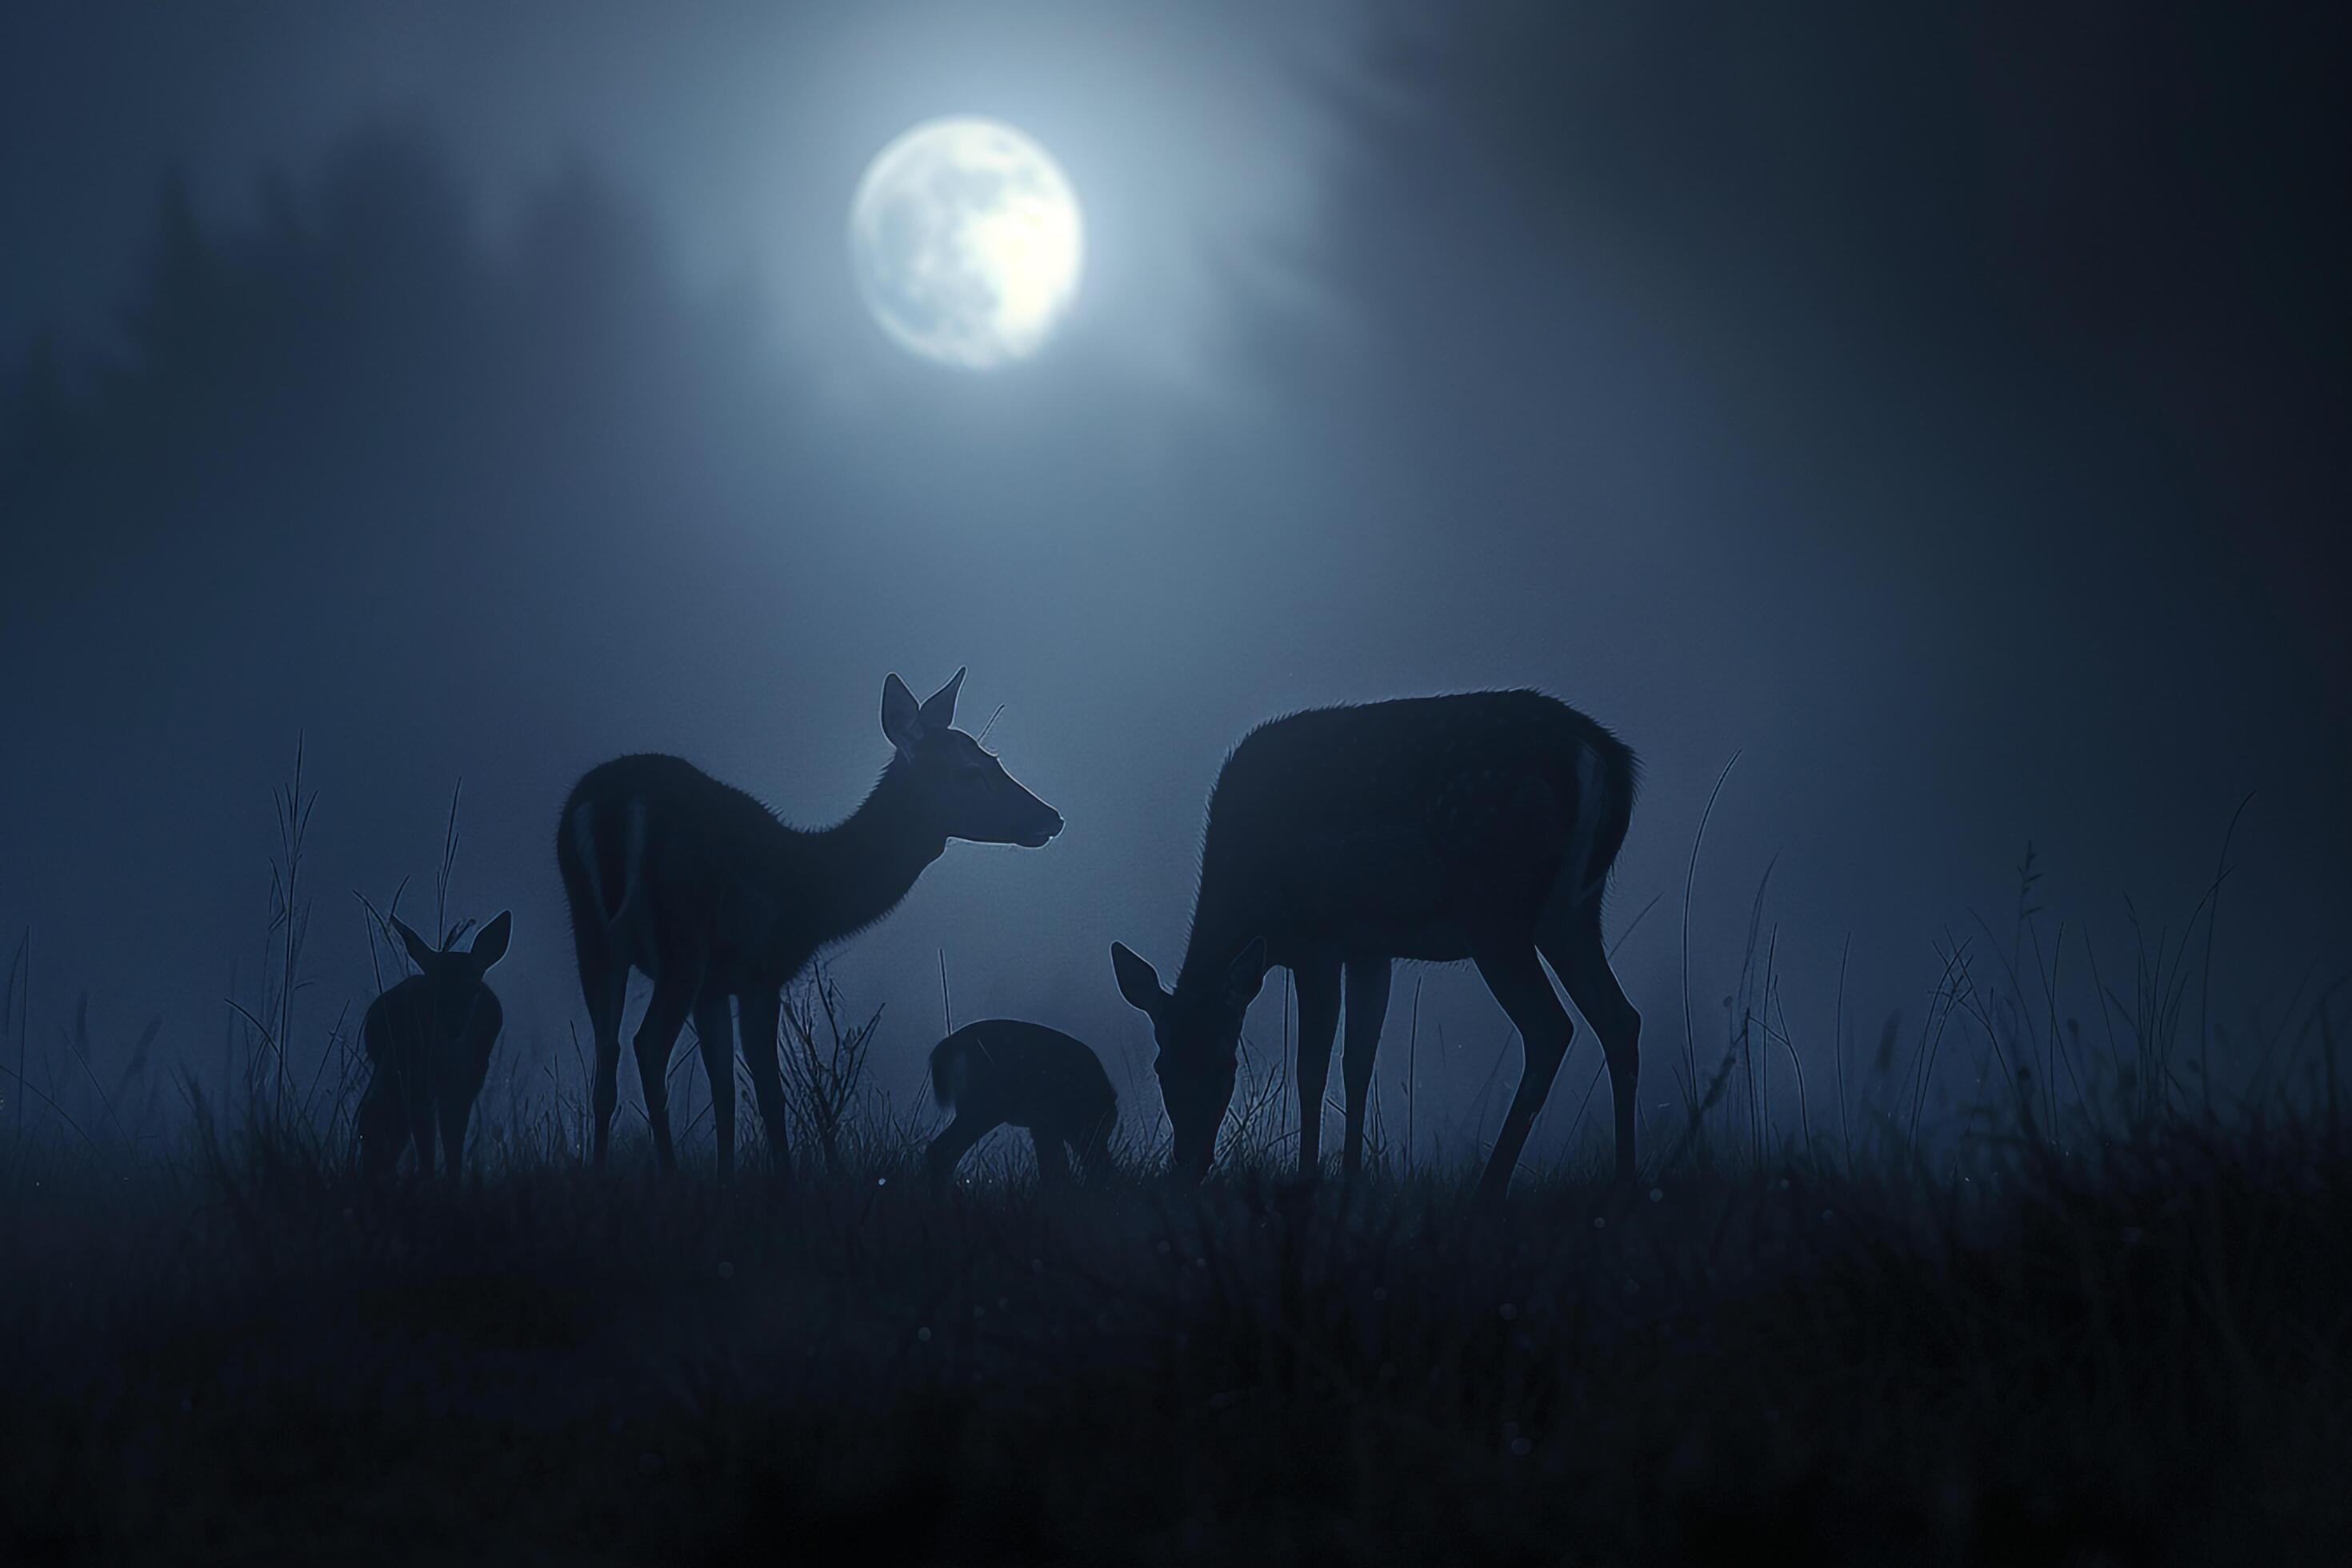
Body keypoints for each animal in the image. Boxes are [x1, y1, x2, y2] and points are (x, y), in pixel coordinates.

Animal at [354, 921, 512, 1175]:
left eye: (474, 989)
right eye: (434, 990)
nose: (455, 1024)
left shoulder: (463, 1087)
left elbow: (451, 1150)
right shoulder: (419, 1085)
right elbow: (429, 1152)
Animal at [554, 667, 1062, 1170]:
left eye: (993, 758)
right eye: (969, 772)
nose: (1051, 816)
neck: (816, 893)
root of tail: (611, 806)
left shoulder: (715, 986)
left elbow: (724, 1094)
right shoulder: (761, 973)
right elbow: (768, 1096)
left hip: (593, 934)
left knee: (606, 1062)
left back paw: (599, 1169)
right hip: (682, 936)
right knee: (647, 1047)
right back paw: (668, 1172)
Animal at [926, 1020, 1119, 1189]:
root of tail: (949, 1045)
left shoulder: (1043, 1127)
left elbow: (1053, 1169)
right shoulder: (1053, 1124)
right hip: (986, 1104)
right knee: (943, 1149)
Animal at [1114, 690, 1637, 1203]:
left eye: (1228, 1065)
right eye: (1161, 1066)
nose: (1189, 1164)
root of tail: (1602, 755)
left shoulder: (1319, 941)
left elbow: (1312, 1067)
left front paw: (1308, 1178)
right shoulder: (1368, 948)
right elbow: (1359, 1061)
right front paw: (1351, 1177)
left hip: (1495, 907)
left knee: (1550, 1027)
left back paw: (1489, 1189)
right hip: (1572, 913)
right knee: (1620, 1018)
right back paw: (1622, 1180)